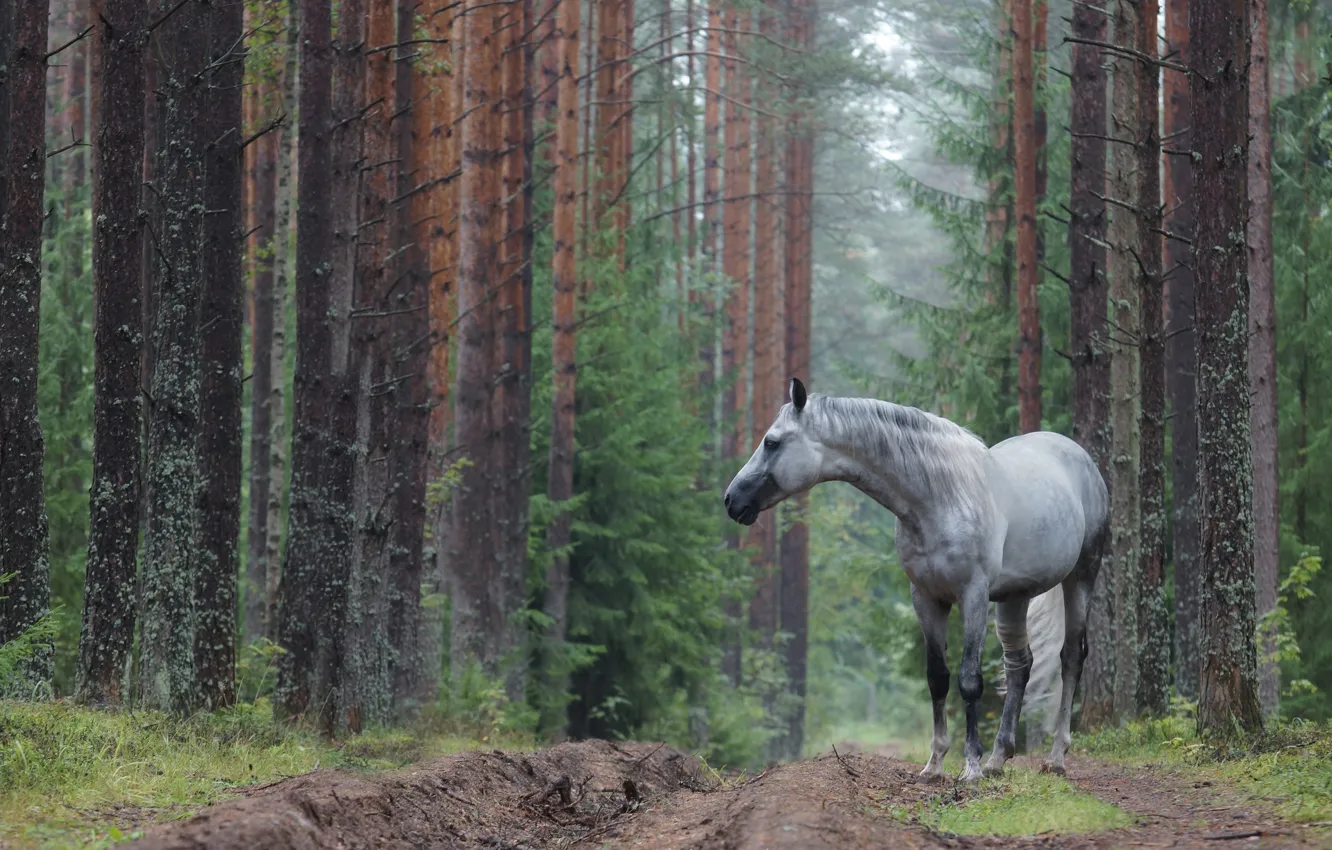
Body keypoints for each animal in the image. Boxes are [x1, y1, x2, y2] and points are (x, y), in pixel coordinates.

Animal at [723, 378, 1108, 783]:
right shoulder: (925, 597)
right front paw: (934, 764)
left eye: (772, 442)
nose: (731, 500)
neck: (939, 498)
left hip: (1082, 575)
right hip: (1014, 597)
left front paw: (970, 768)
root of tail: (1078, 455)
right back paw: (998, 759)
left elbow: (969, 680)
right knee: (1019, 664)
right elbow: (937, 677)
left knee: (1071, 657)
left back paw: (1055, 756)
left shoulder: (973, 595)